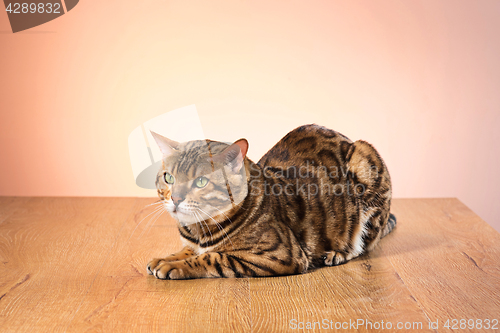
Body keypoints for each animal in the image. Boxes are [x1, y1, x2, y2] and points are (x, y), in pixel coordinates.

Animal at [146, 124, 394, 278]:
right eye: (169, 178)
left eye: (200, 182)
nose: (175, 198)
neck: (199, 229)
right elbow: (187, 251)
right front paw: (165, 258)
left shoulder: (280, 255)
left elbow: (212, 257)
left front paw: (172, 265)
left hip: (365, 163)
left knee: (362, 244)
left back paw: (337, 253)